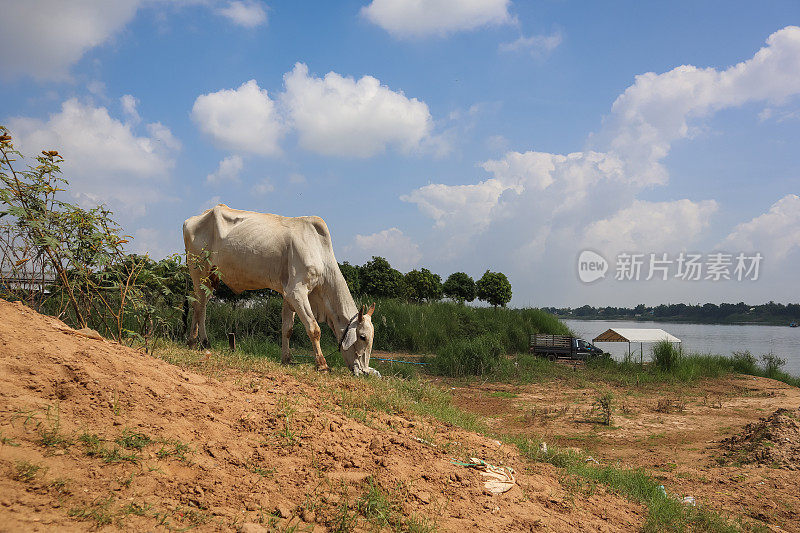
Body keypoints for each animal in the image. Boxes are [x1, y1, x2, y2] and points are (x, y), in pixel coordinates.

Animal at [184, 203, 382, 374]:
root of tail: (194, 218)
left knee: (200, 304)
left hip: (209, 278)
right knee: (199, 305)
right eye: (363, 337)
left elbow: (288, 329)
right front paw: (322, 364)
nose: (364, 372)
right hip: (198, 270)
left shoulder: (288, 295)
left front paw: (287, 359)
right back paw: (197, 341)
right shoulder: (297, 292)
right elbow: (314, 328)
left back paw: (198, 342)